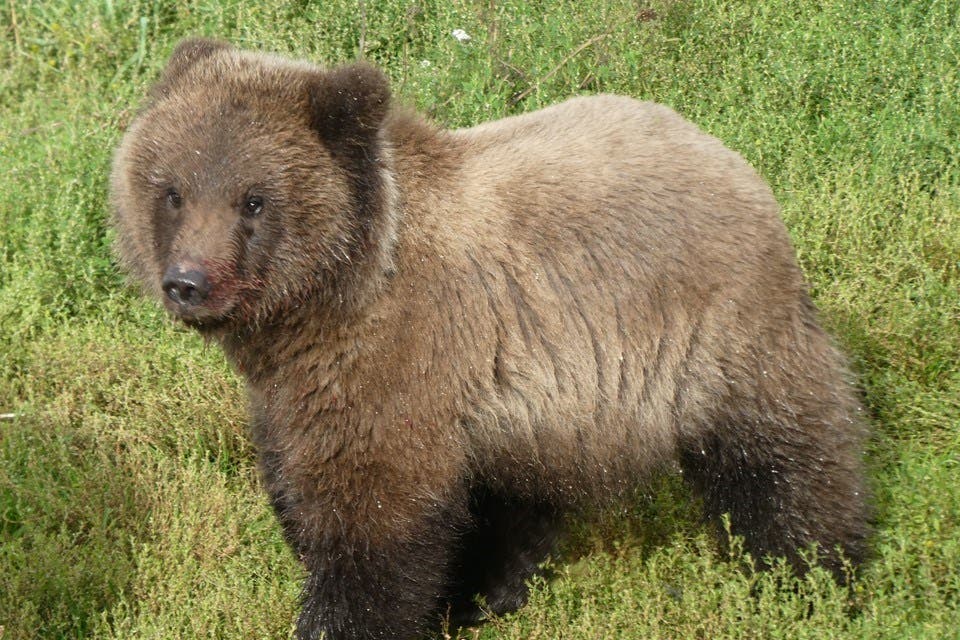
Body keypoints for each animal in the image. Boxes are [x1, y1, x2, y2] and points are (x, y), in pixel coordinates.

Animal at [111, 38, 869, 640]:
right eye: (172, 190)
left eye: (254, 200)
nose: (188, 283)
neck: (322, 306)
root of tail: (729, 155)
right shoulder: (296, 391)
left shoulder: (400, 362)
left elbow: (373, 519)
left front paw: (342, 620)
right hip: (548, 407)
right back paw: (489, 592)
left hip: (720, 331)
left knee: (784, 458)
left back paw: (814, 578)